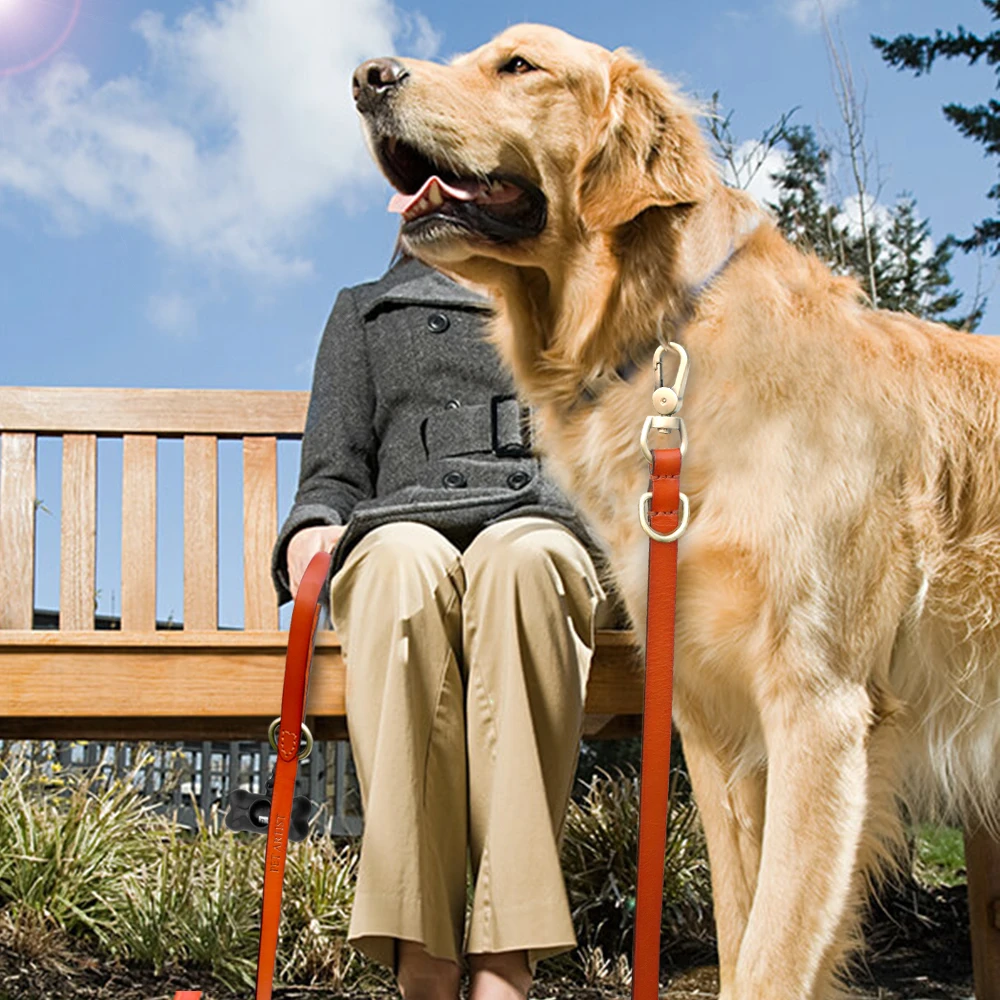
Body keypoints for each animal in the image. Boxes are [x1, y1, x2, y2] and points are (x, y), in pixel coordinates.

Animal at [352, 23, 1000, 1000]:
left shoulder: (819, 711)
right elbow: (739, 936)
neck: (662, 341)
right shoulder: (714, 724)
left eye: (518, 65)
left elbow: (772, 958)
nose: (365, 77)